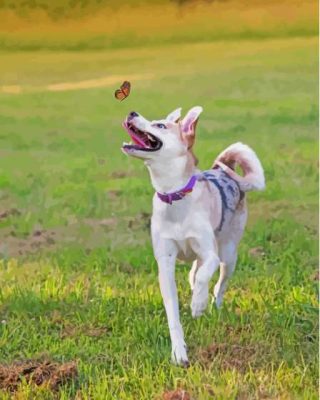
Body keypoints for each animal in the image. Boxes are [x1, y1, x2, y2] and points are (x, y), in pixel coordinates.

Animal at [120, 106, 264, 366]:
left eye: (160, 125)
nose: (132, 112)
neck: (174, 195)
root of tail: (222, 171)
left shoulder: (210, 253)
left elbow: (206, 276)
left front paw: (198, 304)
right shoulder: (165, 264)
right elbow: (173, 313)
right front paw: (179, 352)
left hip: (228, 255)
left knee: (218, 283)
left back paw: (212, 304)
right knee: (194, 272)